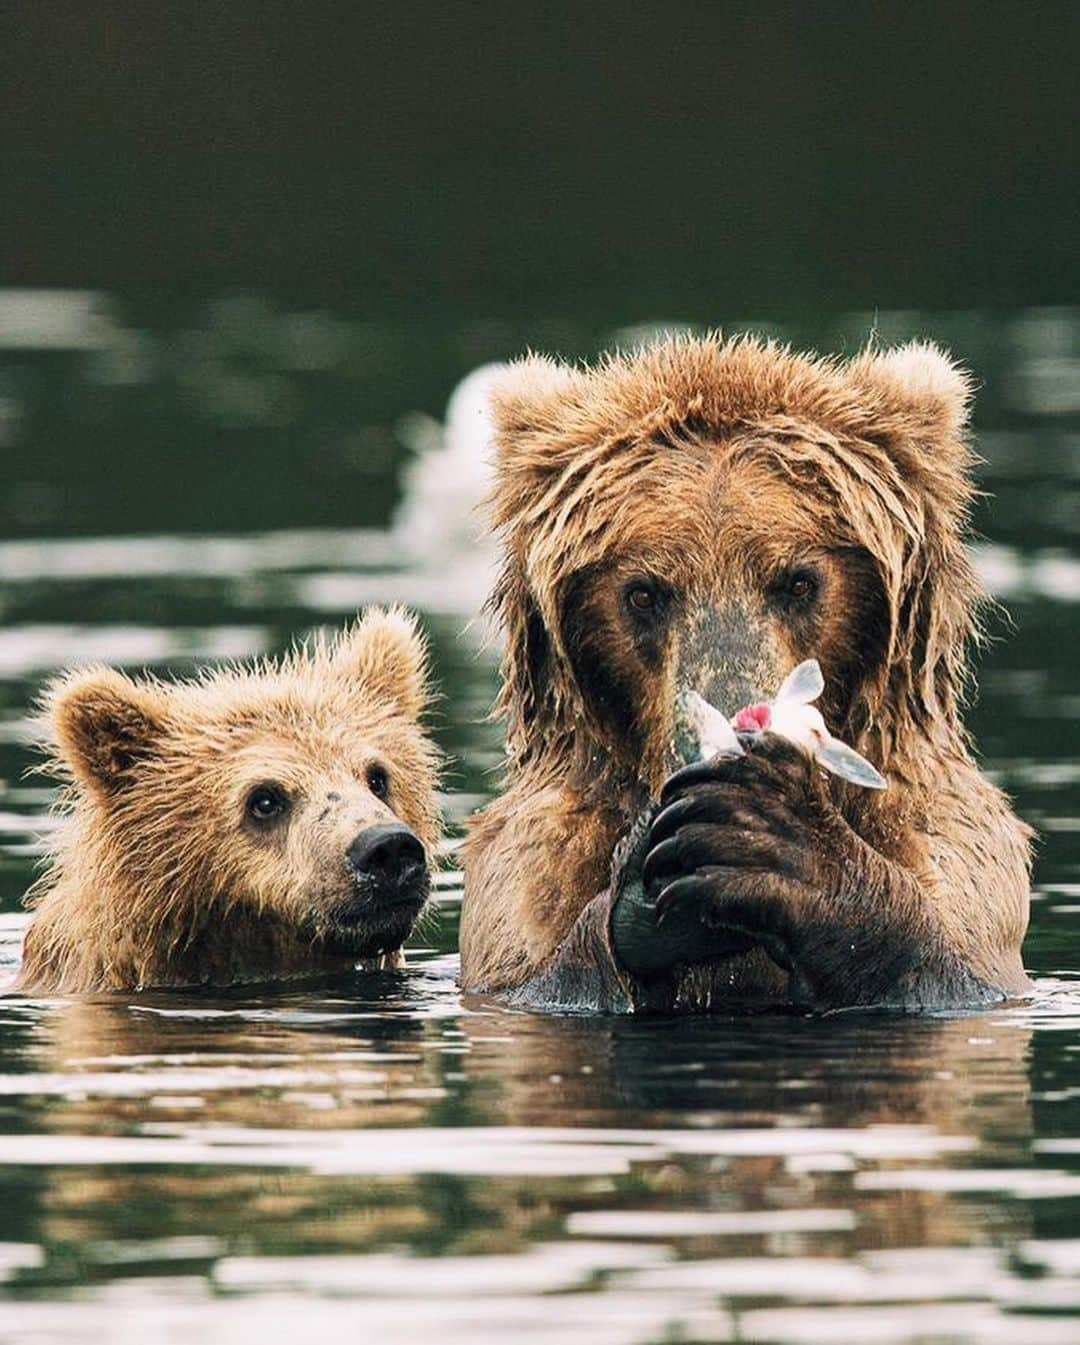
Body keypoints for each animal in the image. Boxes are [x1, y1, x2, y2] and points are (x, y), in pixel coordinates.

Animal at [459, 333, 1032, 1011]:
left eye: (799, 581)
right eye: (644, 593)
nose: (730, 734)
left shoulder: (957, 853)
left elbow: (949, 971)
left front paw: (769, 838)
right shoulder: (522, 877)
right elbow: (540, 978)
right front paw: (641, 896)